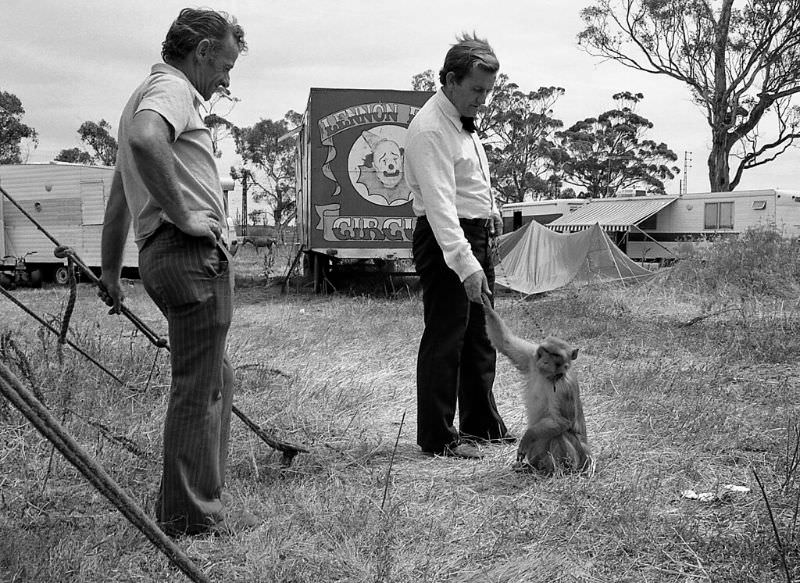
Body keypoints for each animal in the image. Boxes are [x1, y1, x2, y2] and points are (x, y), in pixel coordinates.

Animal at [482, 294, 588, 476]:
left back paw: (557, 470)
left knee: (559, 434)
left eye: (555, 355)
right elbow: (505, 342)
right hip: (538, 456)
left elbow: (562, 421)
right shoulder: (532, 358)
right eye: (545, 352)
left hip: (578, 459)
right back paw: (532, 468)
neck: (549, 376)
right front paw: (486, 305)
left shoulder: (565, 388)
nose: (544, 362)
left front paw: (528, 436)